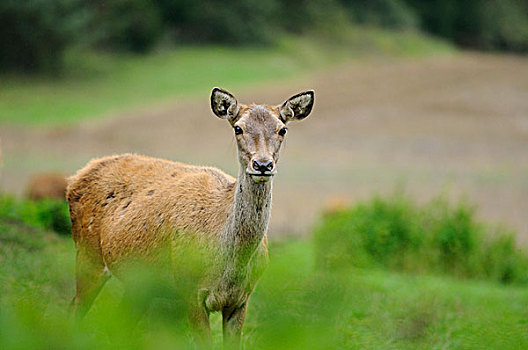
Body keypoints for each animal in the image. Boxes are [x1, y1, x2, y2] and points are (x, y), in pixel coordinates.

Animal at [66, 87, 314, 348]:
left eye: (282, 129)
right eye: (238, 128)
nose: (263, 164)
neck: (230, 265)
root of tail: (74, 178)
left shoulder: (241, 299)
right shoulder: (190, 290)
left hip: (138, 283)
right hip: (87, 256)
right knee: (73, 311)